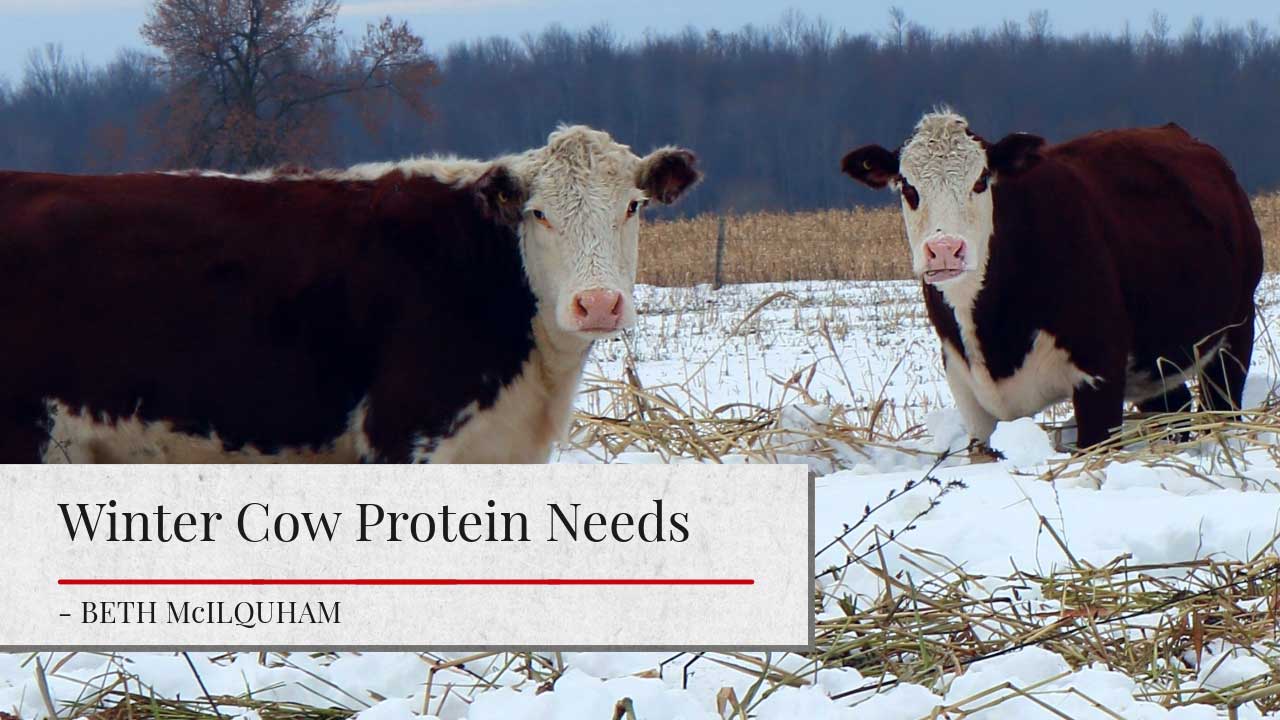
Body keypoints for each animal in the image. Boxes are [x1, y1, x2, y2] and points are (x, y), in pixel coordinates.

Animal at [839, 110, 1259, 448]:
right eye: (908, 186)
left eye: (981, 180)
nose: (944, 249)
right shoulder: (968, 390)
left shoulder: (1099, 373)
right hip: (1154, 356)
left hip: (1235, 330)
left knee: (1221, 405)